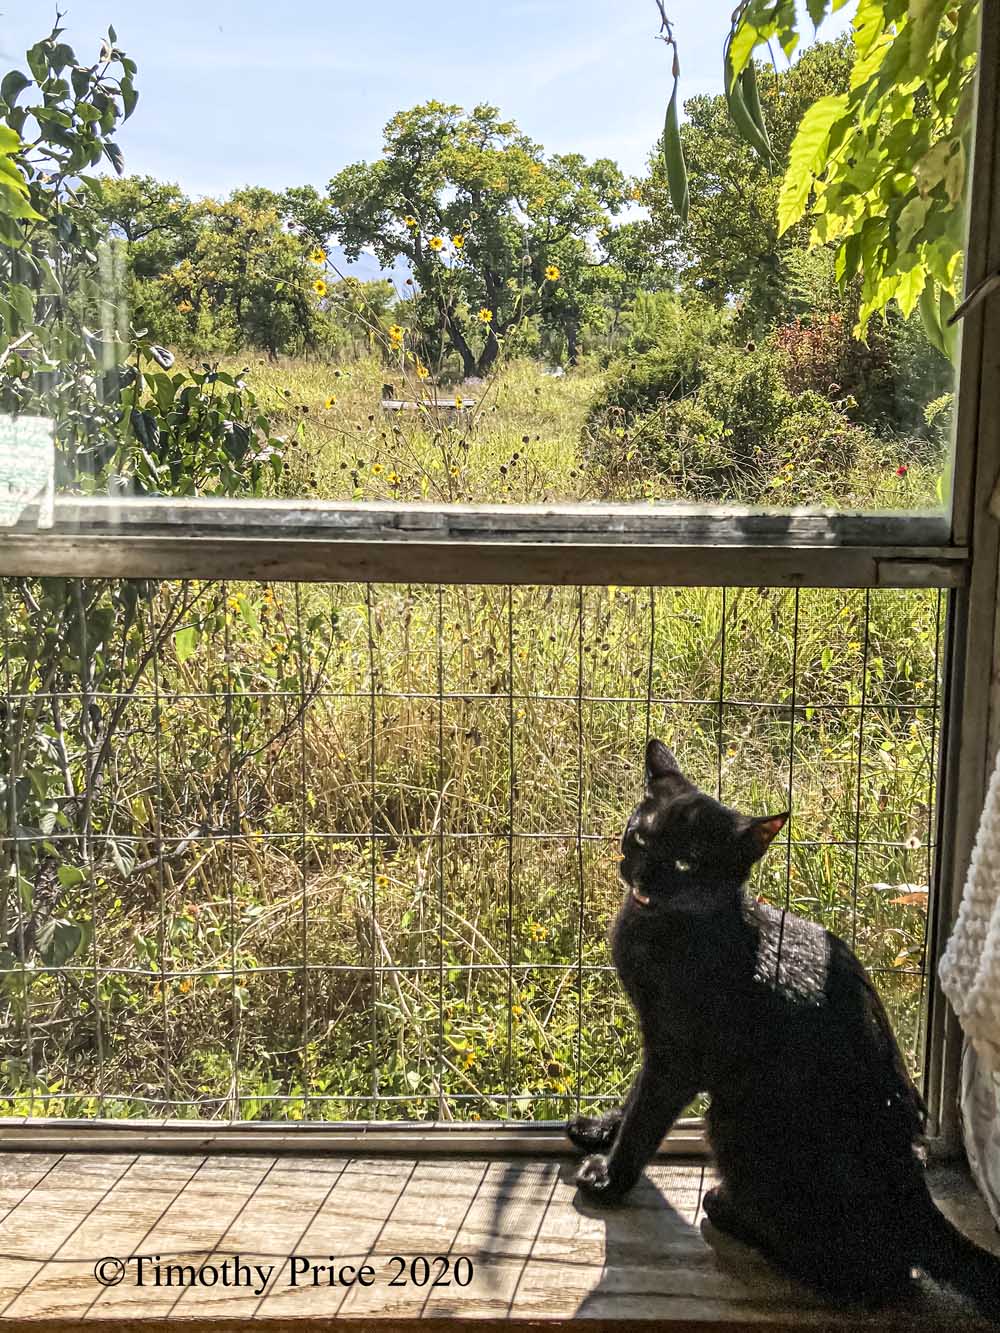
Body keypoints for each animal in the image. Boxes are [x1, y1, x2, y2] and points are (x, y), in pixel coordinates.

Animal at [566, 738, 1000, 1315]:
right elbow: (634, 1096)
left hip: (736, 1120)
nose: (641, 874)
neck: (660, 925)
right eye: (640, 837)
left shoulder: (678, 1054)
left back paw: (731, 1211)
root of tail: (916, 1197)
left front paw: (609, 1179)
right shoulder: (656, 1041)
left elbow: (646, 1117)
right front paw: (600, 1128)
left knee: (877, 1275)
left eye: (686, 862)